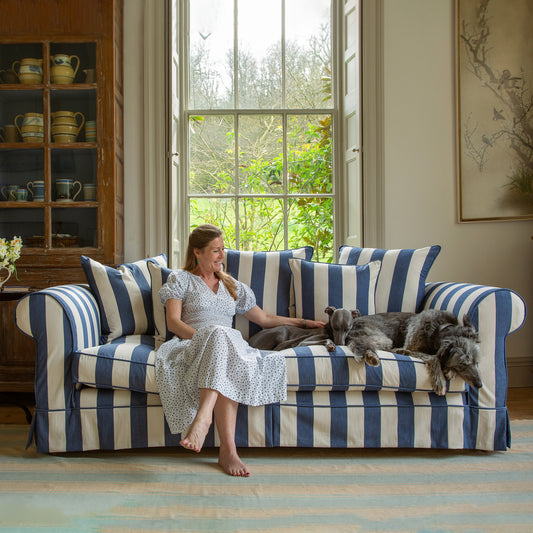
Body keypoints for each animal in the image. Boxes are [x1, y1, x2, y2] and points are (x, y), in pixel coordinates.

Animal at [344, 308, 482, 394]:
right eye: (463, 363)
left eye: (476, 362)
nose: (479, 385)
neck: (438, 329)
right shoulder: (412, 346)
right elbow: (434, 357)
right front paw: (440, 381)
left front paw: (450, 371)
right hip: (381, 337)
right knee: (358, 342)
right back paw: (371, 356)